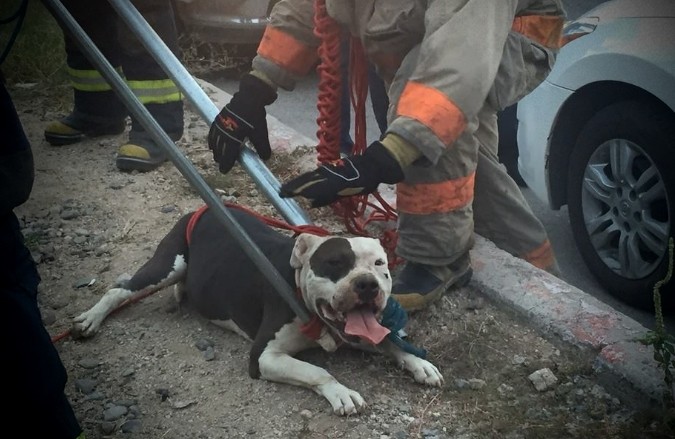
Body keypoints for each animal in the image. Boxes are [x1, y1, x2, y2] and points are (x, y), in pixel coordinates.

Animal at [72, 206, 444, 416]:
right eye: (335, 263)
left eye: (380, 265)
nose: (367, 284)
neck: (299, 290)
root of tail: (205, 209)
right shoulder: (264, 357)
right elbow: (317, 371)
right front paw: (340, 392)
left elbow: (392, 341)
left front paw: (419, 363)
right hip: (167, 264)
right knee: (120, 289)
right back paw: (90, 319)